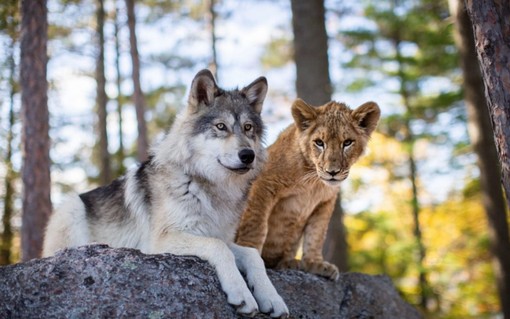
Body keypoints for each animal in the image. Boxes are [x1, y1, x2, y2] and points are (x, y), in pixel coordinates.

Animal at [41, 69, 288, 318]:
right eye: (221, 126)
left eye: (248, 128)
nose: (248, 155)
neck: (208, 186)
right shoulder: (161, 241)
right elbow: (218, 248)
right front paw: (242, 293)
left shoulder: (220, 235)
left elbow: (253, 255)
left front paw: (272, 298)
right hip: (71, 208)